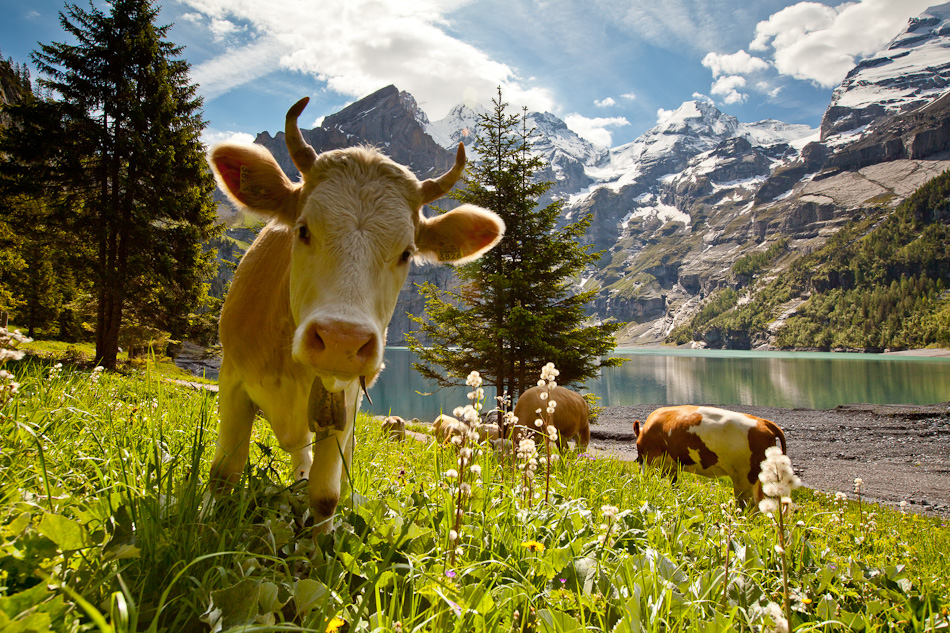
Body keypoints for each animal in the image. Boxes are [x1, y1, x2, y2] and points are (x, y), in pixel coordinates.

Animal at [207, 97, 505, 533]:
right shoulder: (232, 381)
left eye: (407, 252)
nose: (340, 340)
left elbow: (325, 494)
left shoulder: (343, 402)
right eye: (303, 229)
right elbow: (223, 474)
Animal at [632, 405, 787, 507]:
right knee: (760, 503)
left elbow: (646, 480)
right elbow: (675, 485)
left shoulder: (649, 460)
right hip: (756, 478)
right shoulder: (674, 466)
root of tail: (764, 422)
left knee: (748, 506)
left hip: (744, 478)